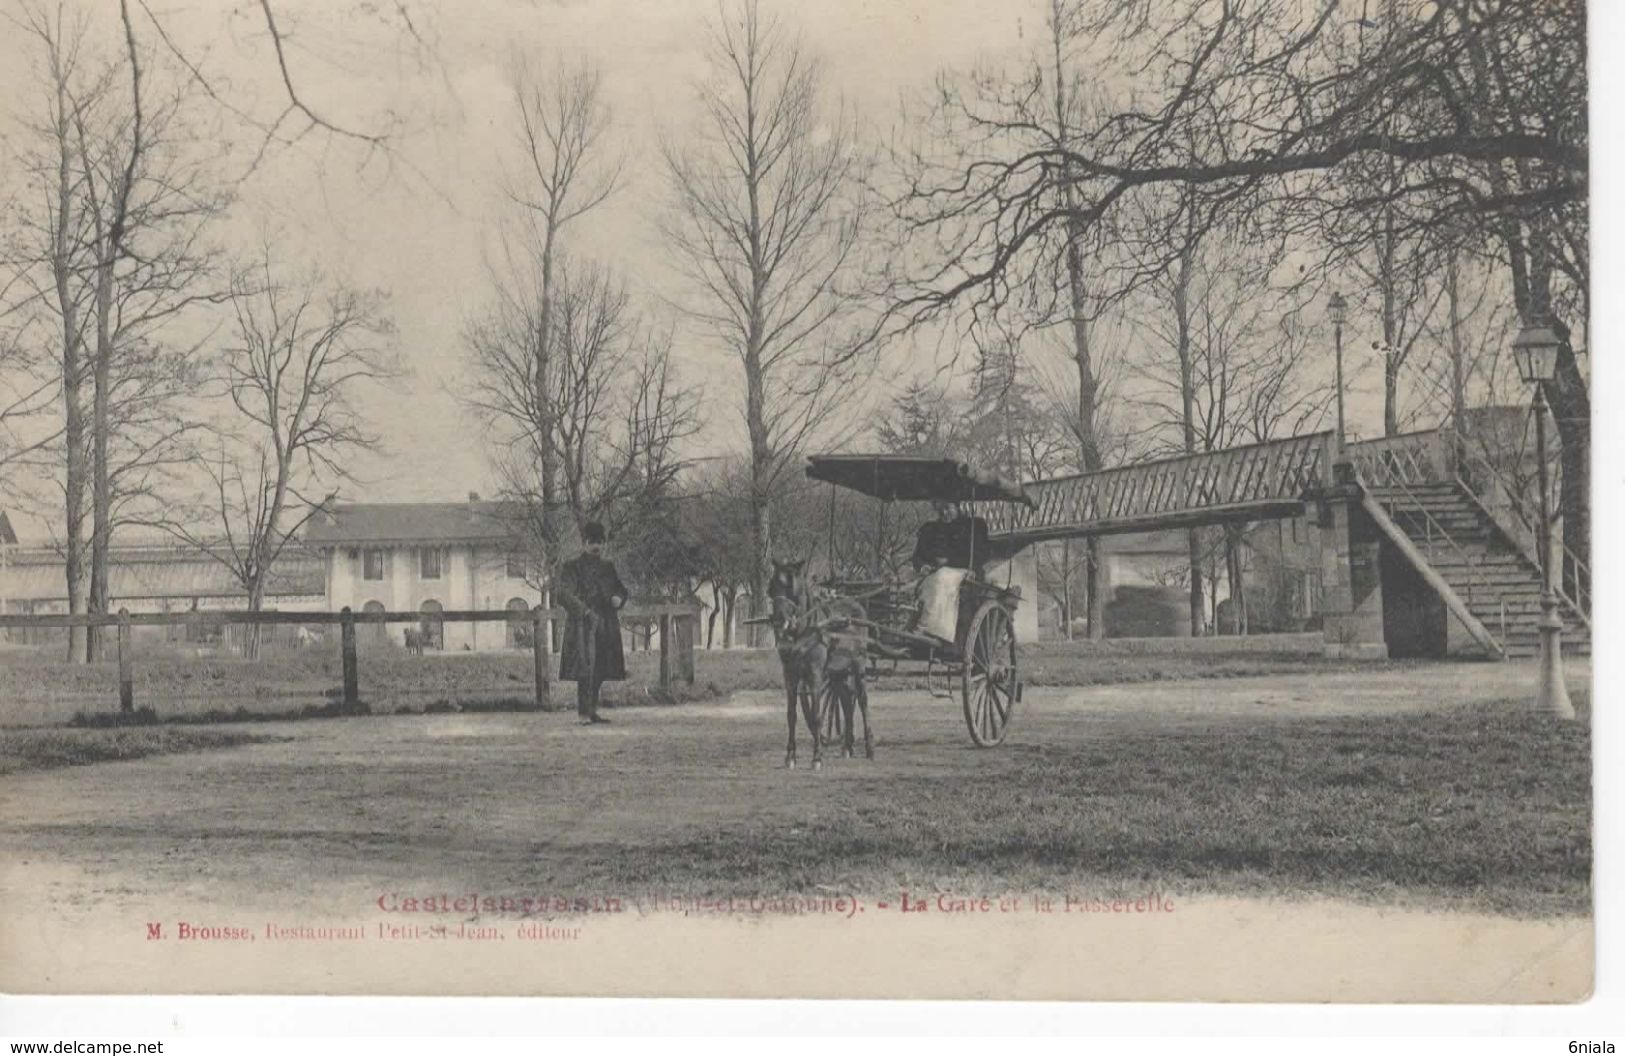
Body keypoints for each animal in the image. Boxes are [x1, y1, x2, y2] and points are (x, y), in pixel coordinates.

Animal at [763, 558, 871, 763]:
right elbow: (791, 715)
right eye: (771, 588)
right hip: (838, 674)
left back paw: (870, 746)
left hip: (859, 665)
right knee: (846, 701)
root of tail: (858, 605)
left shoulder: (815, 674)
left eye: (792, 588)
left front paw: (817, 757)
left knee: (862, 700)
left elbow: (816, 715)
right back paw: (847, 746)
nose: (779, 622)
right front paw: (790, 755)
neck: (804, 630)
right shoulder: (790, 674)